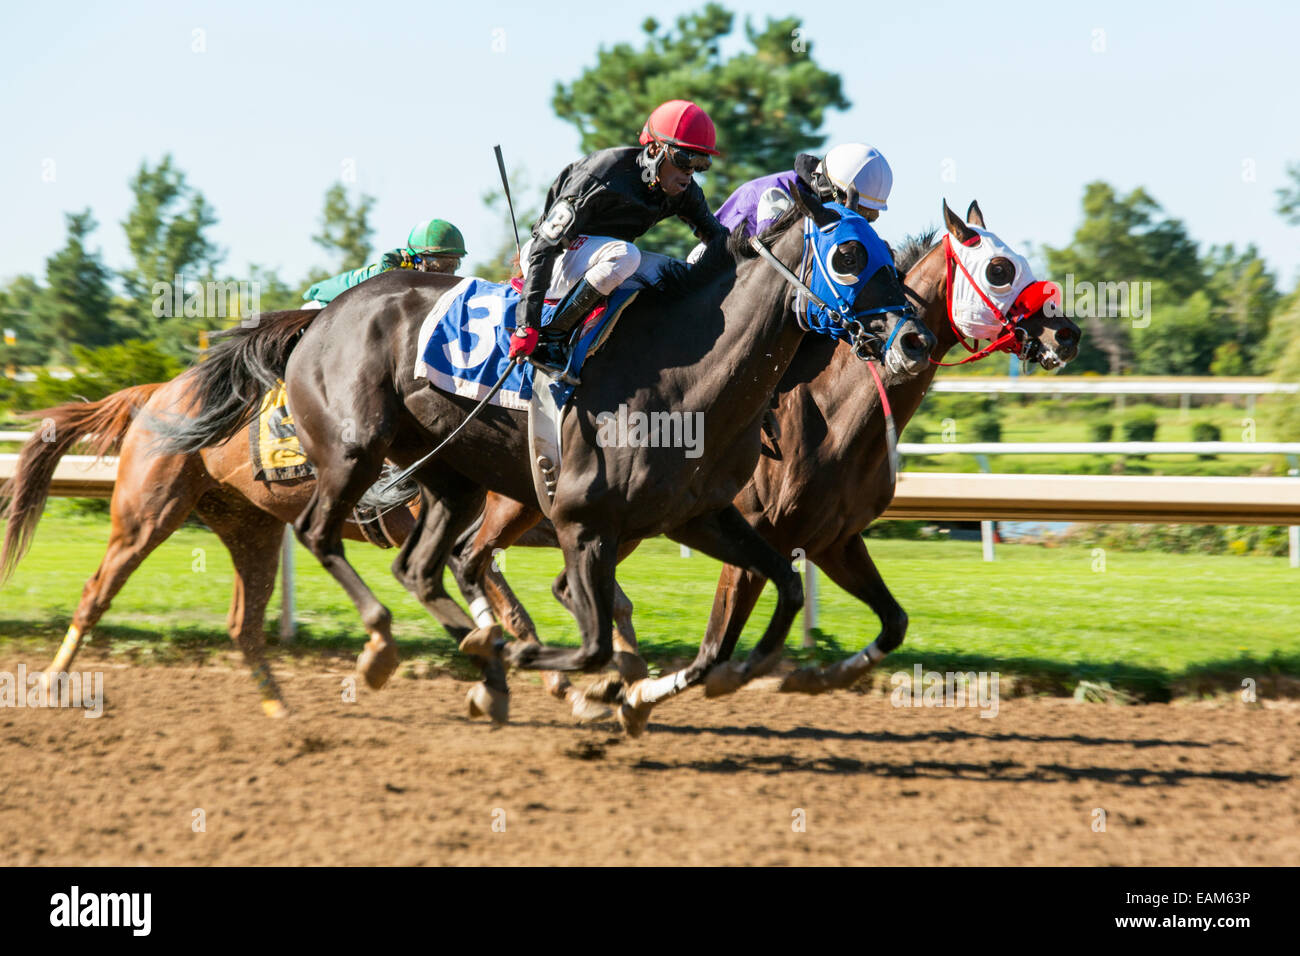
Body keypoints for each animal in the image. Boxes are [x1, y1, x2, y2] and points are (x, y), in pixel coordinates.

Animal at [157, 191, 941, 738]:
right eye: (847, 255)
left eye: (886, 250)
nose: (913, 340)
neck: (687, 377)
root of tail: (322, 313)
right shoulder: (582, 524)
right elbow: (591, 645)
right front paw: (584, 681)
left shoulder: (699, 517)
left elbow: (773, 589)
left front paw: (708, 679)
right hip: (356, 449)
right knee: (325, 535)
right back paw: (394, 645)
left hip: (452, 478)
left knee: (420, 565)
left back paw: (484, 666)